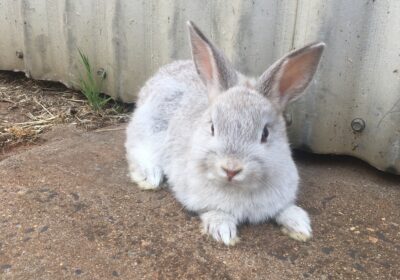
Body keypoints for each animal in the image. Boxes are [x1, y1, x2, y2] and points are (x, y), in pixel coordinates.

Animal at [125, 21, 324, 245]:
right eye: (213, 127)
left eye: (265, 134)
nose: (231, 169)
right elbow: (214, 211)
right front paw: (224, 232)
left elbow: (286, 209)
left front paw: (301, 227)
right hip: (150, 128)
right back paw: (149, 178)